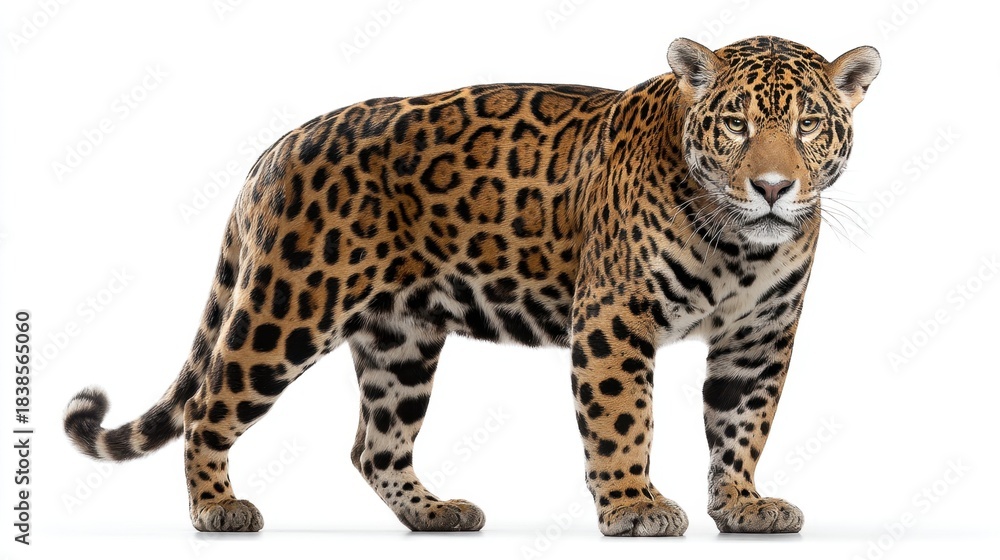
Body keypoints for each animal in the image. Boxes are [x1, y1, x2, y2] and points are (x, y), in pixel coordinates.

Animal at [64, 35, 880, 536]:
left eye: (809, 125)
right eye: (736, 124)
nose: (773, 188)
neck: (739, 245)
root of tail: (278, 146)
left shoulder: (759, 339)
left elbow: (741, 426)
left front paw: (742, 505)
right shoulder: (615, 317)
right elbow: (624, 421)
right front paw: (634, 507)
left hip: (400, 340)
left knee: (375, 445)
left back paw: (435, 514)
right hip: (288, 307)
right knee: (209, 406)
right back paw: (217, 510)